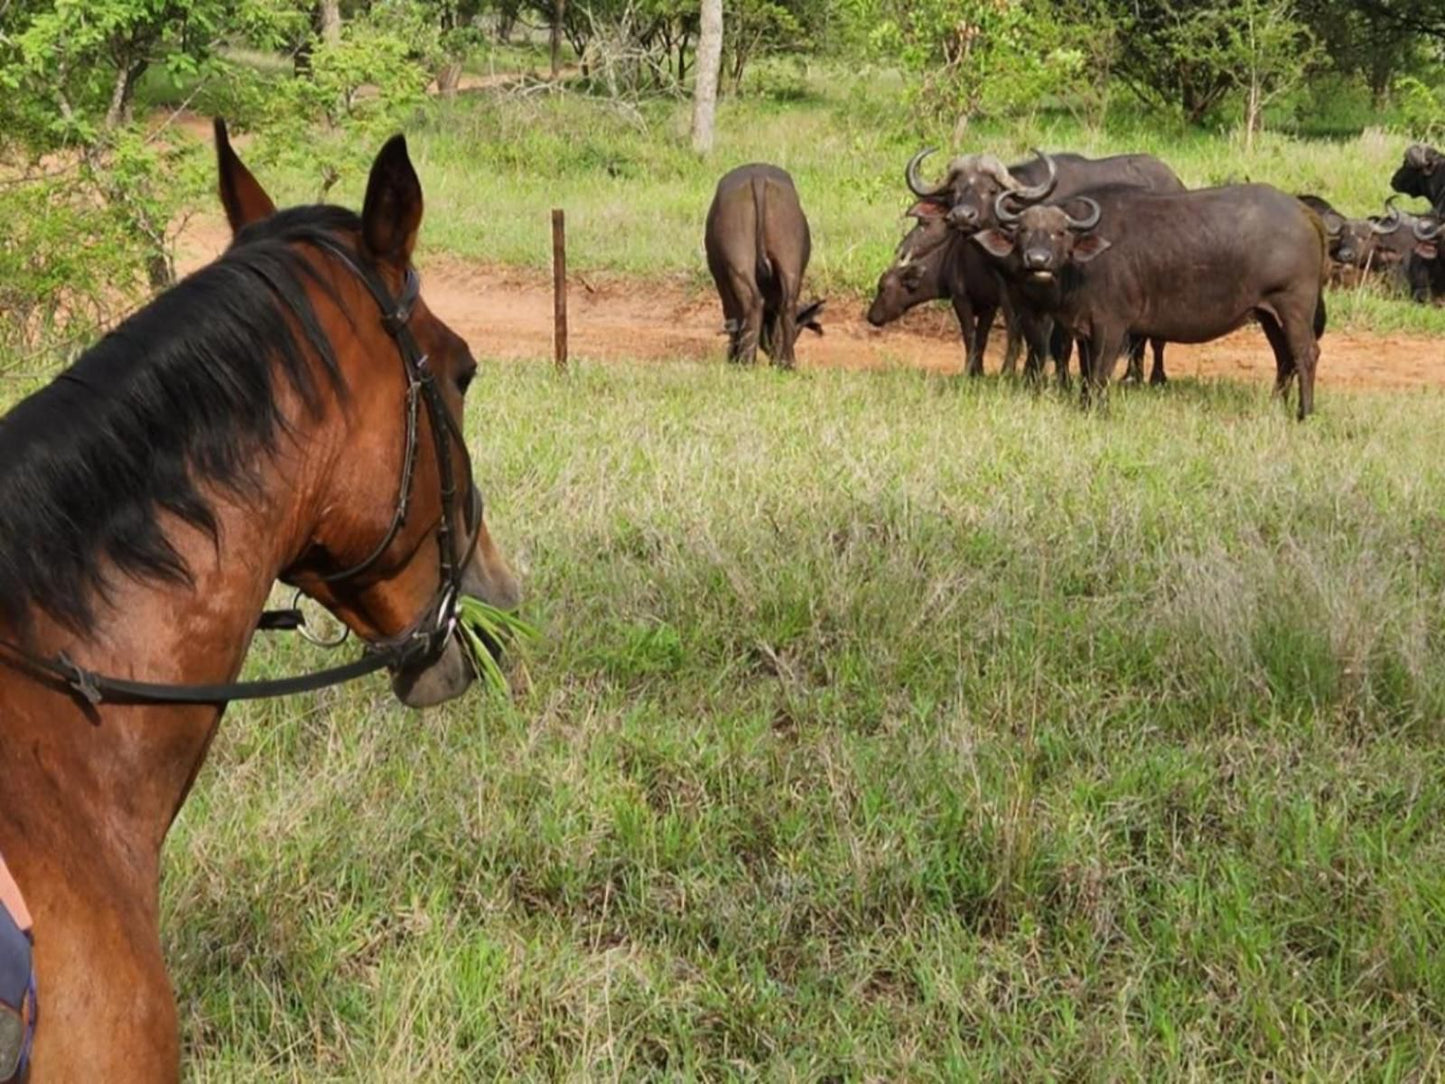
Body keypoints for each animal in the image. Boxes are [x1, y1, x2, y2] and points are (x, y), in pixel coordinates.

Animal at [702, 163, 820, 370]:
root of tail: (758, 176)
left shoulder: (721, 280)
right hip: (790, 263)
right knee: (787, 305)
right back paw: (787, 363)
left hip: (739, 265)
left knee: (752, 303)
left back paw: (746, 361)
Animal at [971, 171, 1329, 422]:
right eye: (1023, 231)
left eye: (1060, 233)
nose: (1038, 260)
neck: (1082, 265)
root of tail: (1303, 212)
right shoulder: (1085, 329)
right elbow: (1085, 373)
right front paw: (1085, 407)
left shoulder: (1112, 327)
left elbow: (1100, 373)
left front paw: (1100, 411)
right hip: (1268, 313)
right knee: (1284, 357)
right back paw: (1276, 405)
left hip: (1293, 306)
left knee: (1306, 353)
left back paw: (1305, 413)